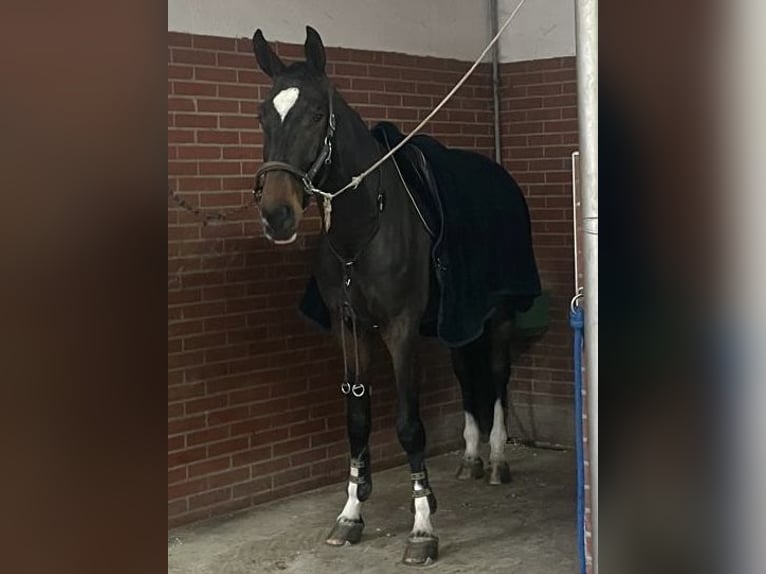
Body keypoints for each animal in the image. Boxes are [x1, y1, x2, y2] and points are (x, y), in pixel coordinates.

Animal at [252, 25, 540, 568]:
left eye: (317, 113)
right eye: (263, 115)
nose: (276, 214)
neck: (363, 227)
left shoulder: (401, 329)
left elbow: (409, 425)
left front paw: (422, 525)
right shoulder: (350, 329)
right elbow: (357, 420)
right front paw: (350, 514)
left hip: (499, 313)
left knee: (496, 376)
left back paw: (495, 458)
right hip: (455, 320)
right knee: (464, 373)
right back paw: (470, 457)